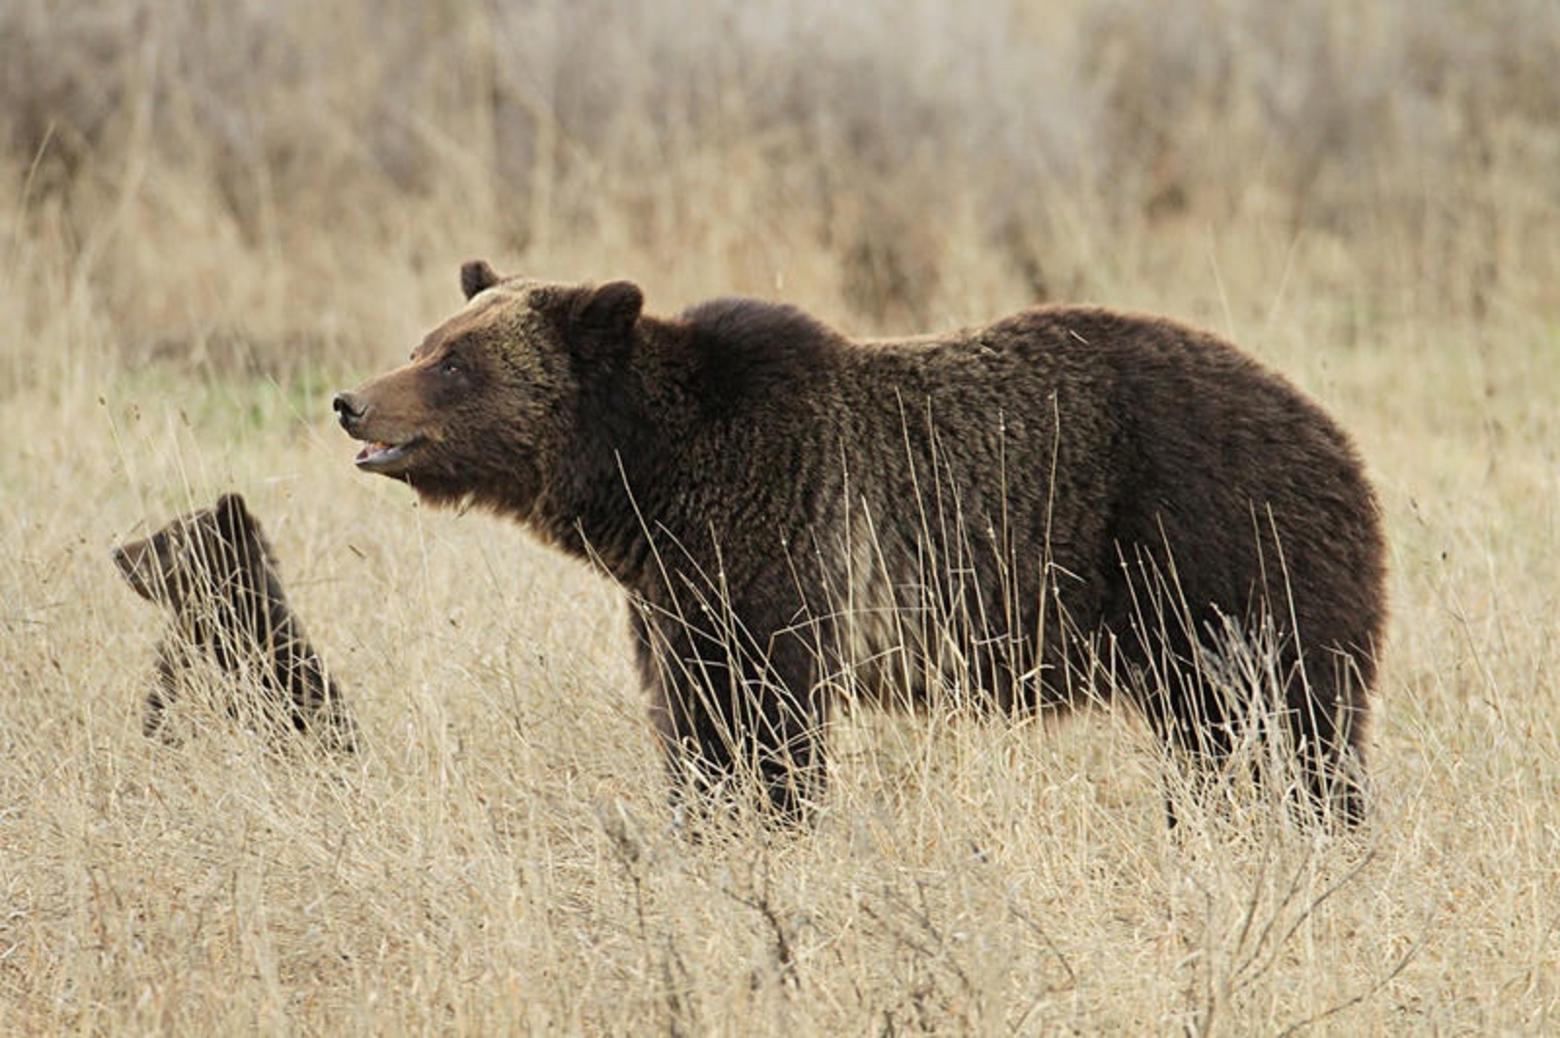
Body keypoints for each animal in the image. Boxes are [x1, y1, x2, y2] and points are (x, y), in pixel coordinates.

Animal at [335, 265, 1385, 824]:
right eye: (428, 341)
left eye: (455, 362)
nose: (351, 400)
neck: (652, 481)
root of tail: (1332, 433)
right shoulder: (676, 595)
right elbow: (694, 721)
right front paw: (704, 820)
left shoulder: (776, 551)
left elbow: (765, 723)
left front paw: (768, 821)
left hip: (1213, 553)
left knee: (1287, 722)